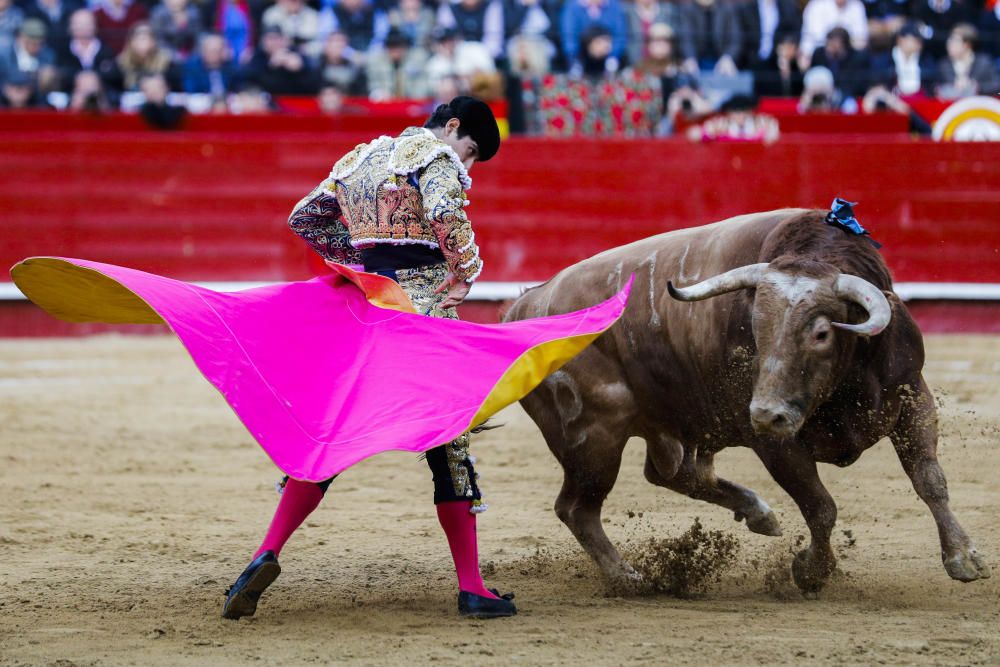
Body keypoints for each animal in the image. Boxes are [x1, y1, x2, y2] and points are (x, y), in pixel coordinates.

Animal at [508, 209, 992, 596]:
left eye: (821, 332)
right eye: (755, 326)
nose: (766, 413)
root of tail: (524, 305)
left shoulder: (912, 397)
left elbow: (929, 479)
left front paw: (964, 557)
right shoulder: (774, 442)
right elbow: (820, 506)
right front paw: (812, 571)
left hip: (662, 425)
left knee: (672, 475)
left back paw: (757, 512)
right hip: (593, 440)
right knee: (579, 508)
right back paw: (628, 578)